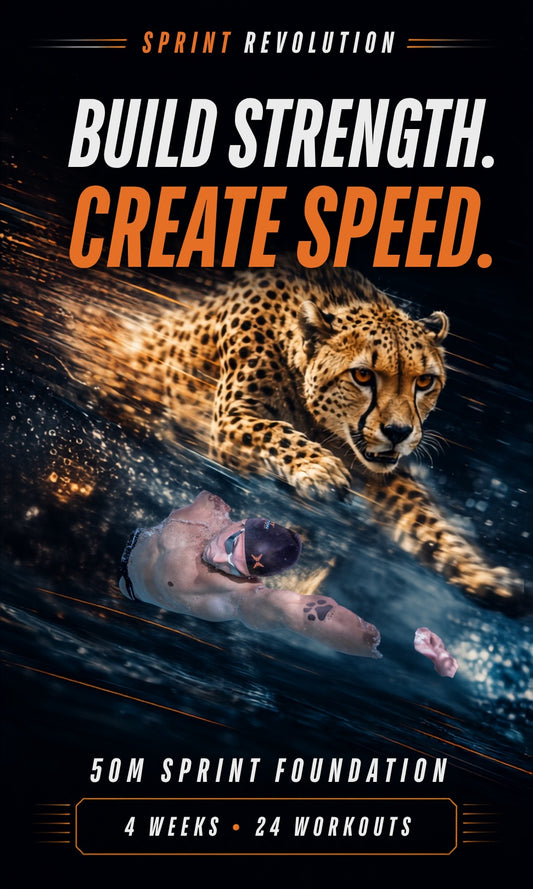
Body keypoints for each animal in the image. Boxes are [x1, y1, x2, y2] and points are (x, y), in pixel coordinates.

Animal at [64, 261, 526, 613]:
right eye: (363, 375)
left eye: (425, 381)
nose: (398, 432)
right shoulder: (231, 420)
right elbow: (276, 433)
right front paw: (320, 469)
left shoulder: (382, 466)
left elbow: (428, 519)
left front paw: (482, 576)